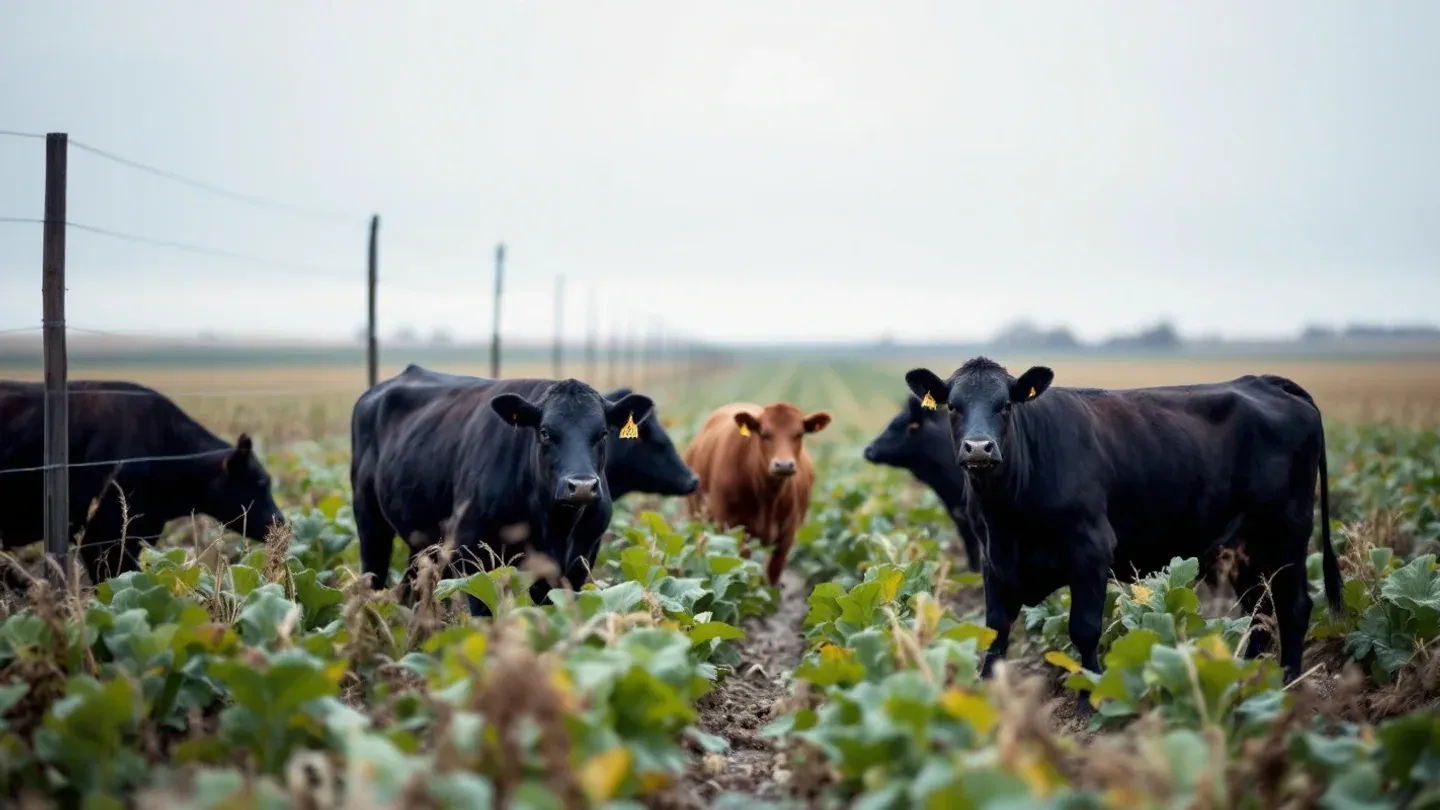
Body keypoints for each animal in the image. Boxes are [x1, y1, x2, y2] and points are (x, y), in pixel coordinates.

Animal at [349, 367, 655, 613]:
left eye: (603, 433)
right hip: (370, 524)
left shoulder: (578, 565)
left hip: (421, 541)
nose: (581, 486)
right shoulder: (473, 559)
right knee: (373, 577)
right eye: (545, 432)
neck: (556, 527)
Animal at [683, 401, 831, 586]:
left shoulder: (787, 534)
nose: (784, 465)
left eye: (799, 434)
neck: (768, 496)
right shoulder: (734, 529)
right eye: (764, 434)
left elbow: (773, 574)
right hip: (698, 518)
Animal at [904, 357, 1343, 709]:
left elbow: (1083, 628)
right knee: (1260, 613)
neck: (1007, 517)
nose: (979, 448)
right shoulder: (992, 560)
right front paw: (982, 694)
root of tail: (1264, 380)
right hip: (1242, 549)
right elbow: (994, 629)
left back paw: (1287, 685)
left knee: (1294, 607)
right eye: (953, 406)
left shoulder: (1090, 551)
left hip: (1287, 533)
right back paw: (1242, 680)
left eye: (1006, 405)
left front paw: (1088, 700)